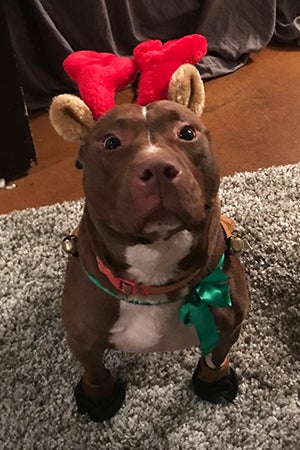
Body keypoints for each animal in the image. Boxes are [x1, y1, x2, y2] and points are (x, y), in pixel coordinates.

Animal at [50, 65, 250, 424]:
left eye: (187, 133)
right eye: (111, 142)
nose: (157, 167)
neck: (156, 268)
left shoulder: (230, 324)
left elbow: (216, 357)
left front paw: (214, 382)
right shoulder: (83, 340)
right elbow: (95, 372)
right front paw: (98, 400)